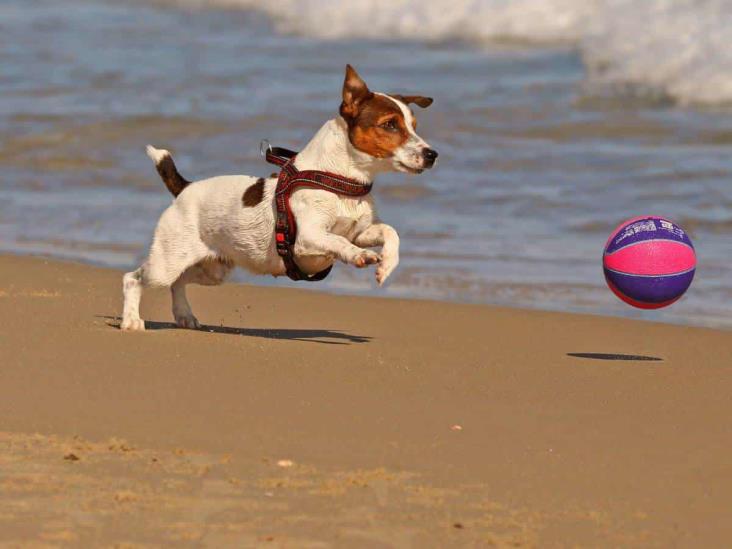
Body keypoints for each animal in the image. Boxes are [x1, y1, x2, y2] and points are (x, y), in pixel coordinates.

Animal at [121, 64, 434, 330]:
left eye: (414, 125)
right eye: (390, 124)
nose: (433, 155)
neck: (340, 182)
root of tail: (184, 188)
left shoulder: (361, 231)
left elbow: (389, 232)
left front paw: (387, 266)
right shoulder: (308, 237)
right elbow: (338, 241)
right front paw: (358, 255)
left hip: (213, 270)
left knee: (178, 282)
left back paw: (184, 315)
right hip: (166, 263)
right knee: (133, 279)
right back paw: (132, 321)